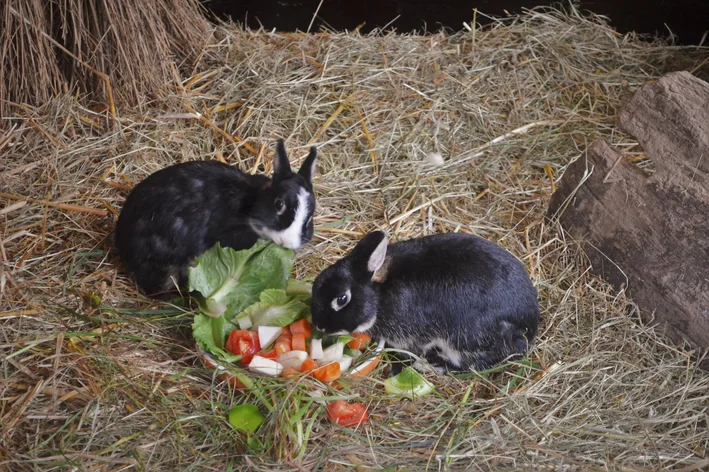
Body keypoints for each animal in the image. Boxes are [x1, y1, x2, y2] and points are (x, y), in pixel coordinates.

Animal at [312, 230, 540, 372]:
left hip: (465, 340)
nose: (319, 326)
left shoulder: (413, 337)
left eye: (342, 299)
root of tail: (530, 326)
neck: (379, 294)